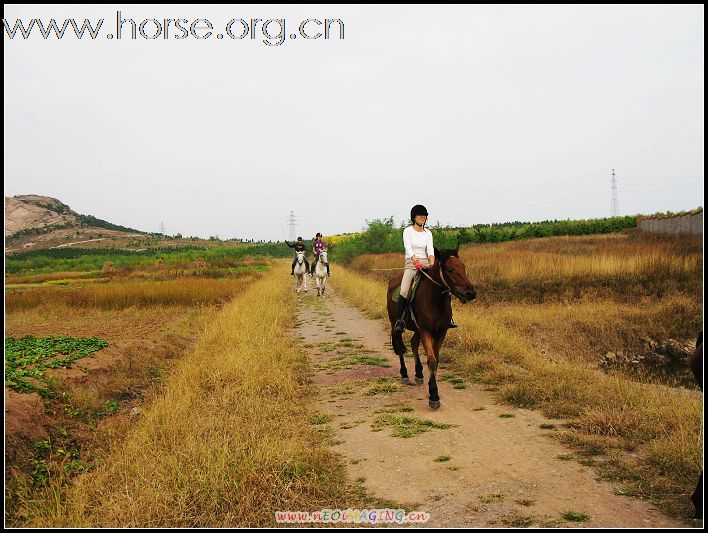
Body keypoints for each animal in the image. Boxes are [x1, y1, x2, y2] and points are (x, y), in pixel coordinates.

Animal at [388, 243, 476, 410]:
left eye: (463, 266)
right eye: (450, 270)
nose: (471, 293)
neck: (435, 300)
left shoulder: (441, 332)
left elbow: (436, 359)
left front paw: (431, 386)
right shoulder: (426, 331)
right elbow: (431, 360)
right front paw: (434, 395)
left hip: (417, 329)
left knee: (413, 343)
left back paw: (418, 374)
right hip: (395, 324)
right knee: (400, 347)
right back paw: (404, 374)